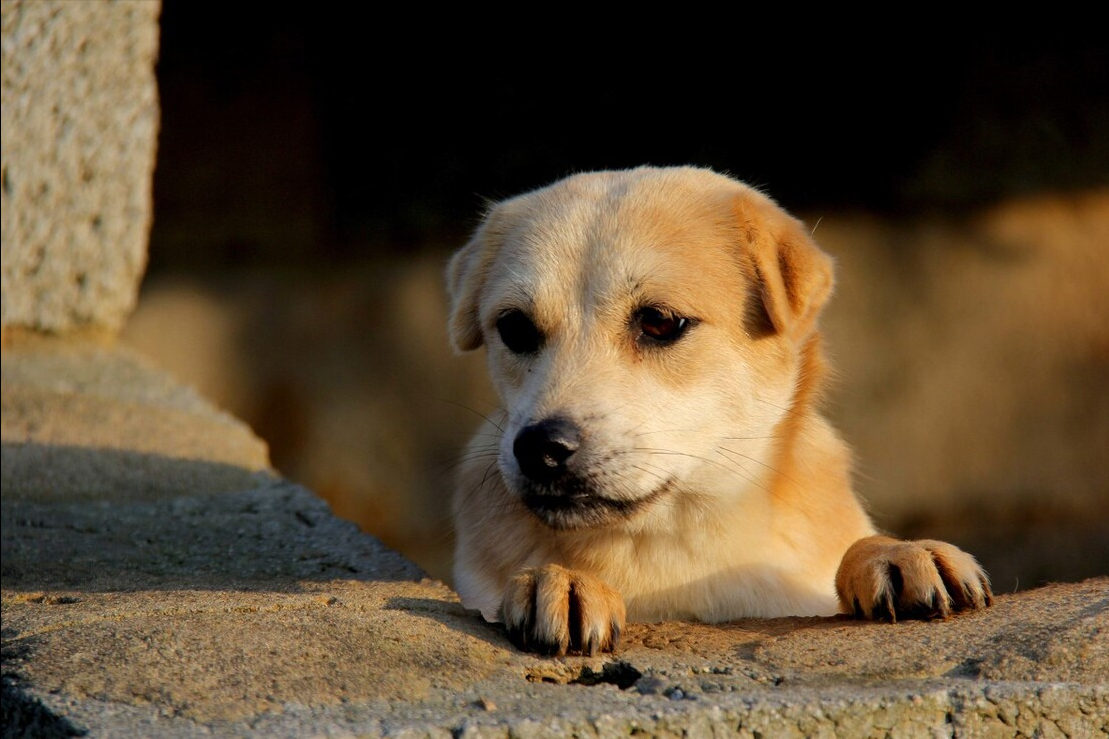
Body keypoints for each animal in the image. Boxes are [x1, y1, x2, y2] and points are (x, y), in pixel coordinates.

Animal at [445, 168, 993, 656]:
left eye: (659, 322)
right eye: (515, 328)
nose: (539, 448)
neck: (678, 548)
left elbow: (859, 547)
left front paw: (900, 552)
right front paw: (559, 579)